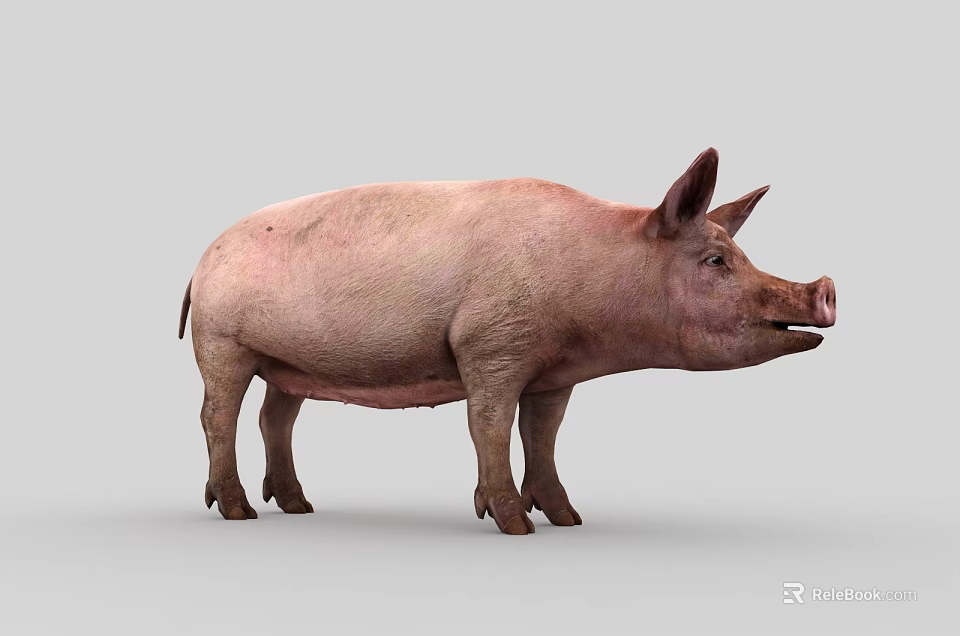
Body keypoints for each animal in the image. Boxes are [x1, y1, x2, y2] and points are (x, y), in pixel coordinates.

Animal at [179, 148, 836, 534]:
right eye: (716, 260)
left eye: (739, 255)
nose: (825, 288)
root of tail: (202, 261)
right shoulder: (491, 345)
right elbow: (489, 427)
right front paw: (515, 524)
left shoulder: (554, 374)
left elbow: (542, 434)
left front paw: (569, 520)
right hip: (221, 341)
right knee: (216, 415)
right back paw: (238, 512)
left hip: (285, 363)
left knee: (275, 417)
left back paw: (298, 506)